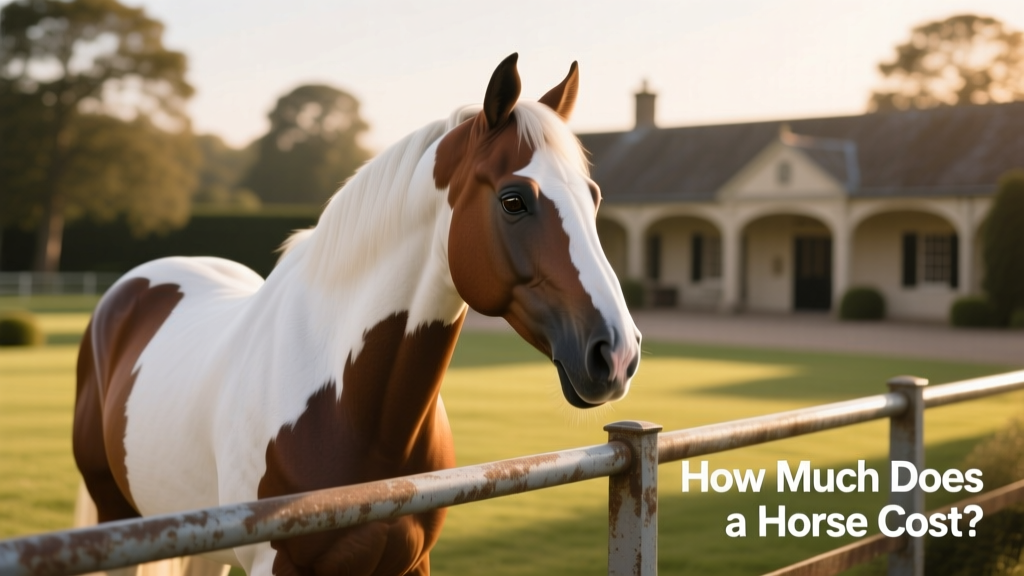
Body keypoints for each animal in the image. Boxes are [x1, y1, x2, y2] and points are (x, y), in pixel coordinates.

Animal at [73, 53, 641, 576]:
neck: (352, 408)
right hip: (117, 517)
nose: (617, 353)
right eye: (514, 200)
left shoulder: (412, 562)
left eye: (593, 198)